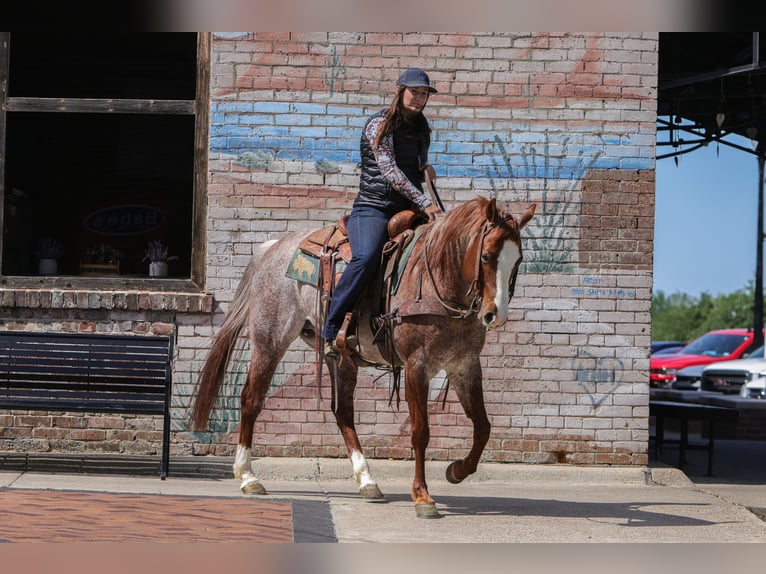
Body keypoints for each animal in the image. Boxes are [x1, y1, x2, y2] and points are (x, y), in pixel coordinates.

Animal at [190, 196, 536, 518]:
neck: (437, 281)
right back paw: (248, 476)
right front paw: (422, 496)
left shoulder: (465, 365)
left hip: (340, 357)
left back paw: (367, 480)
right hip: (270, 340)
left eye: (517, 260)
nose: (495, 315)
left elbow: (483, 427)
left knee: (342, 411)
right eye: (487, 256)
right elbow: (420, 432)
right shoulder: (417, 366)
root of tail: (273, 248)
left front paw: (457, 470)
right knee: (251, 398)